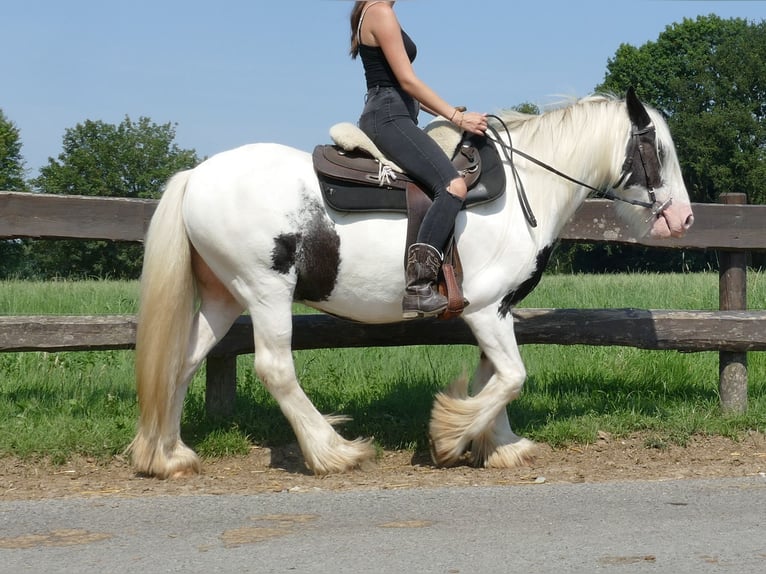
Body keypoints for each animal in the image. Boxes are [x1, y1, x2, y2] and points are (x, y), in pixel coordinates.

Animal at [130, 90, 696, 480]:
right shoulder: (487, 309)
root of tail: (196, 176)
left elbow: (494, 376)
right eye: (659, 150)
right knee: (275, 369)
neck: (525, 190)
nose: (684, 219)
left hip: (225, 296)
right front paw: (450, 436)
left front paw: (499, 444)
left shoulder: (493, 312)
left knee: (181, 361)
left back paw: (169, 455)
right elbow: (511, 377)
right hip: (266, 292)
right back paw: (334, 452)